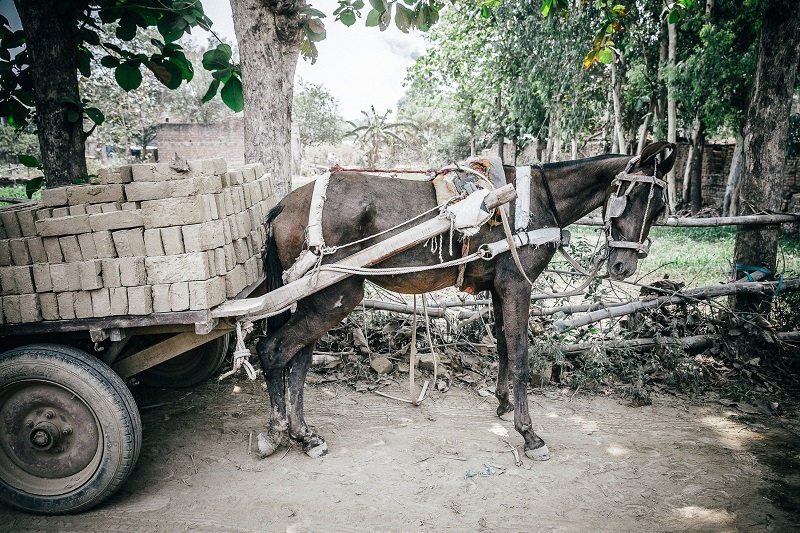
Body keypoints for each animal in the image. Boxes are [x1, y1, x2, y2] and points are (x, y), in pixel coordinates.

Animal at [255, 142, 676, 460]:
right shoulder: (517, 285)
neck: (533, 199)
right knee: (273, 352)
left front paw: (504, 405)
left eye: (658, 209)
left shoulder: (498, 288)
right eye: (629, 198)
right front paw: (529, 435)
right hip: (336, 295)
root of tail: (284, 205)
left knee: (298, 361)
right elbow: (520, 356)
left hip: (317, 299)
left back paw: (303, 434)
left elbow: (503, 347)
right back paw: (278, 432)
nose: (623, 267)